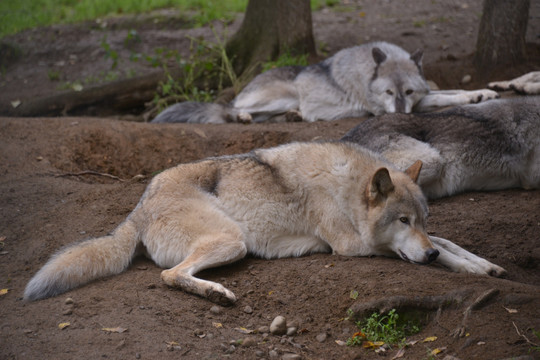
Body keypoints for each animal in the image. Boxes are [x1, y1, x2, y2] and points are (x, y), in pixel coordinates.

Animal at [24, 141, 506, 304]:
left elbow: (448, 241)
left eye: (419, 218)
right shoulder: (354, 247)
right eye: (401, 220)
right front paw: (461, 266)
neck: (346, 187)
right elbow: (432, 250)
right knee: (168, 275)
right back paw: (216, 294)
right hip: (231, 239)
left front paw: (483, 265)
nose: (427, 255)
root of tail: (137, 208)